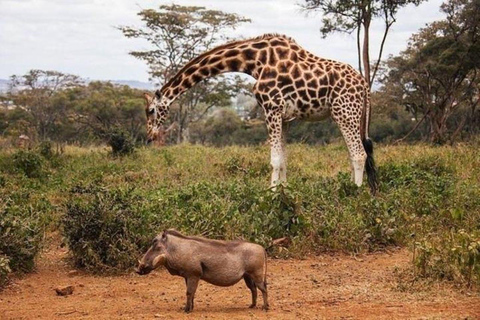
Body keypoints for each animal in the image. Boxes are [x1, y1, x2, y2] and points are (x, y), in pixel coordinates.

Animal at [142, 33, 378, 192]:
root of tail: (365, 86)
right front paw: (283, 191)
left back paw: (354, 193)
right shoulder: (285, 117)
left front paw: (270, 194)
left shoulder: (271, 108)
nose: (149, 136)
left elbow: (274, 159)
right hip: (352, 115)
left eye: (151, 110)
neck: (253, 61)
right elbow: (283, 158)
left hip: (345, 112)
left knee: (359, 154)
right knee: (354, 154)